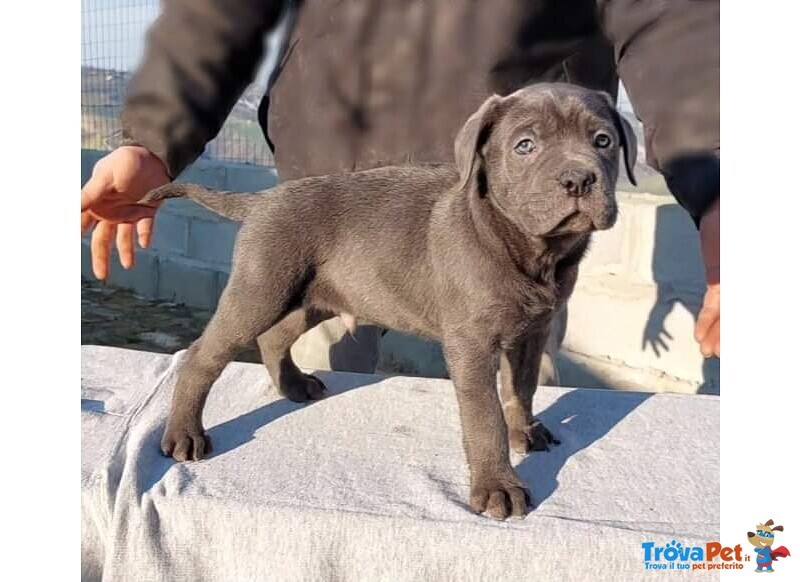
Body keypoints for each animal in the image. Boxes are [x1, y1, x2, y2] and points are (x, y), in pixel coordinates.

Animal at [144, 81, 636, 520]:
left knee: (273, 339)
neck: (525, 247)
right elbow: (484, 415)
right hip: (261, 289)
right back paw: (186, 434)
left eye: (603, 141)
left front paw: (526, 432)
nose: (578, 178)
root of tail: (262, 199)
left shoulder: (533, 330)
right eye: (525, 146)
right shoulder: (472, 343)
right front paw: (498, 485)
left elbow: (522, 388)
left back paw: (295, 386)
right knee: (202, 356)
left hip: (315, 295)